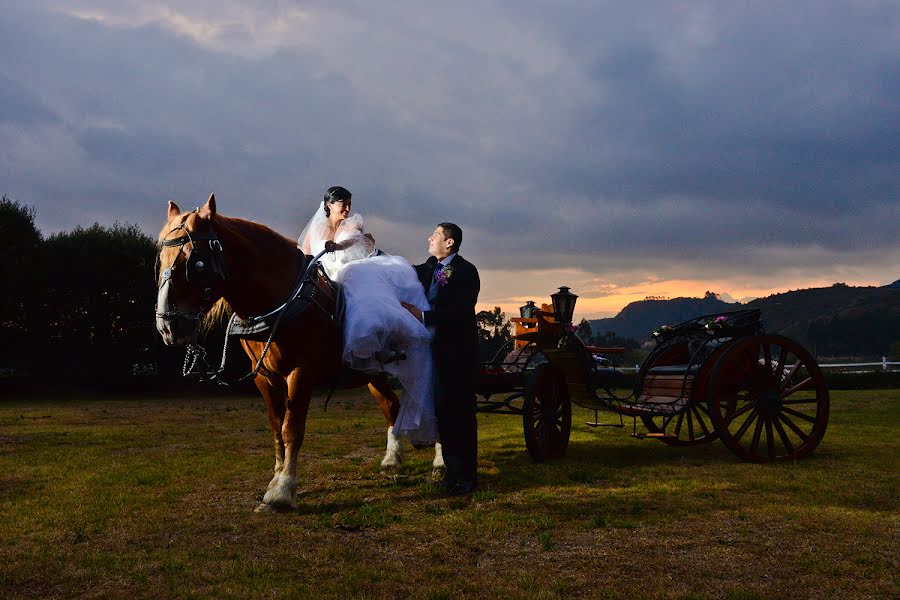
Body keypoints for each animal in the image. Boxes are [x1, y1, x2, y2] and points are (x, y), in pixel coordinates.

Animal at [158, 193, 446, 510]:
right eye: (161, 258)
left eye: (195, 263)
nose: (167, 326)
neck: (282, 301)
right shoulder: (265, 378)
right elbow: (275, 429)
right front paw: (276, 479)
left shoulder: (301, 373)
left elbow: (291, 429)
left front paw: (282, 490)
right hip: (374, 371)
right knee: (391, 404)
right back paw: (393, 460)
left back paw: (440, 463)